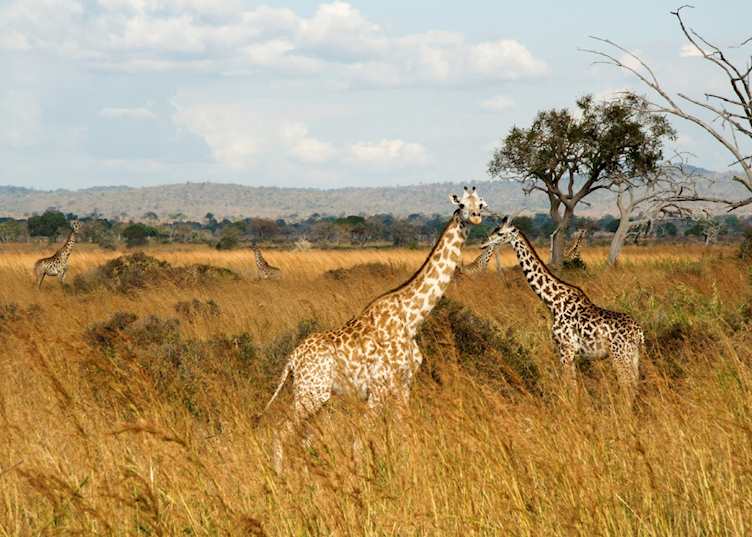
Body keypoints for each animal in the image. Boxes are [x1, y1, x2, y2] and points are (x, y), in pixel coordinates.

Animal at [261, 186, 488, 473]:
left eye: (482, 203)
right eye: (461, 205)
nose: (476, 217)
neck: (412, 317)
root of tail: (291, 359)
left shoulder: (404, 384)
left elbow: (403, 431)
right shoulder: (378, 388)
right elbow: (360, 441)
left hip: (318, 396)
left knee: (305, 437)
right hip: (311, 393)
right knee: (281, 430)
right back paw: (281, 476)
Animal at [482, 217, 643, 391]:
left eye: (500, 233)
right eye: (494, 229)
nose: (483, 243)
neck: (553, 302)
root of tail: (639, 332)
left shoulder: (566, 349)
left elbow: (570, 386)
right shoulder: (569, 352)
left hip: (620, 356)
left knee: (627, 386)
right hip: (633, 356)